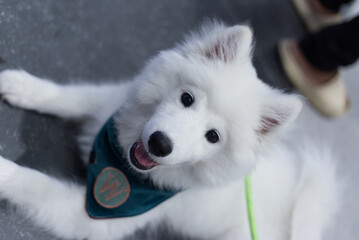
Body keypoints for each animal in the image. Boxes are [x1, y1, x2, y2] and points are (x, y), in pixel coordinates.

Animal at [0, 22, 338, 240]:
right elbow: (74, 96)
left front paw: (4, 171)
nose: (159, 143)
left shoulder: (96, 216)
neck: (121, 161)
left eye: (213, 136)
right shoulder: (113, 100)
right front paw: (25, 87)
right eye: (187, 98)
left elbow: (36, 183)